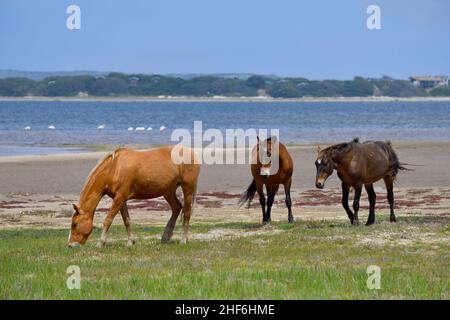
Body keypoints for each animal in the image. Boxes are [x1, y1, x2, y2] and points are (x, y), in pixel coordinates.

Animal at [67, 146, 200, 248]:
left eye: (75, 224)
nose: (71, 245)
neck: (115, 168)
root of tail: (192, 153)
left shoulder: (119, 198)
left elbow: (108, 220)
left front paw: (101, 242)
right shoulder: (120, 199)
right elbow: (127, 220)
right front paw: (130, 242)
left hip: (188, 188)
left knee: (186, 212)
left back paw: (183, 240)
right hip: (168, 191)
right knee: (177, 208)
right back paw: (165, 237)